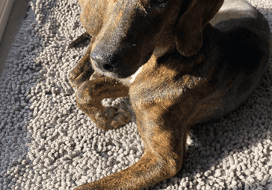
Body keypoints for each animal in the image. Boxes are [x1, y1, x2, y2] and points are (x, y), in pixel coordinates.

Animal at [68, 0, 270, 189]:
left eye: (161, 2)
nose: (102, 61)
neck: (163, 57)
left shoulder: (164, 160)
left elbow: (91, 186)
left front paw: (108, 117)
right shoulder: (129, 82)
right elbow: (84, 92)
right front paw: (108, 117)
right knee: (94, 35)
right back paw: (82, 69)